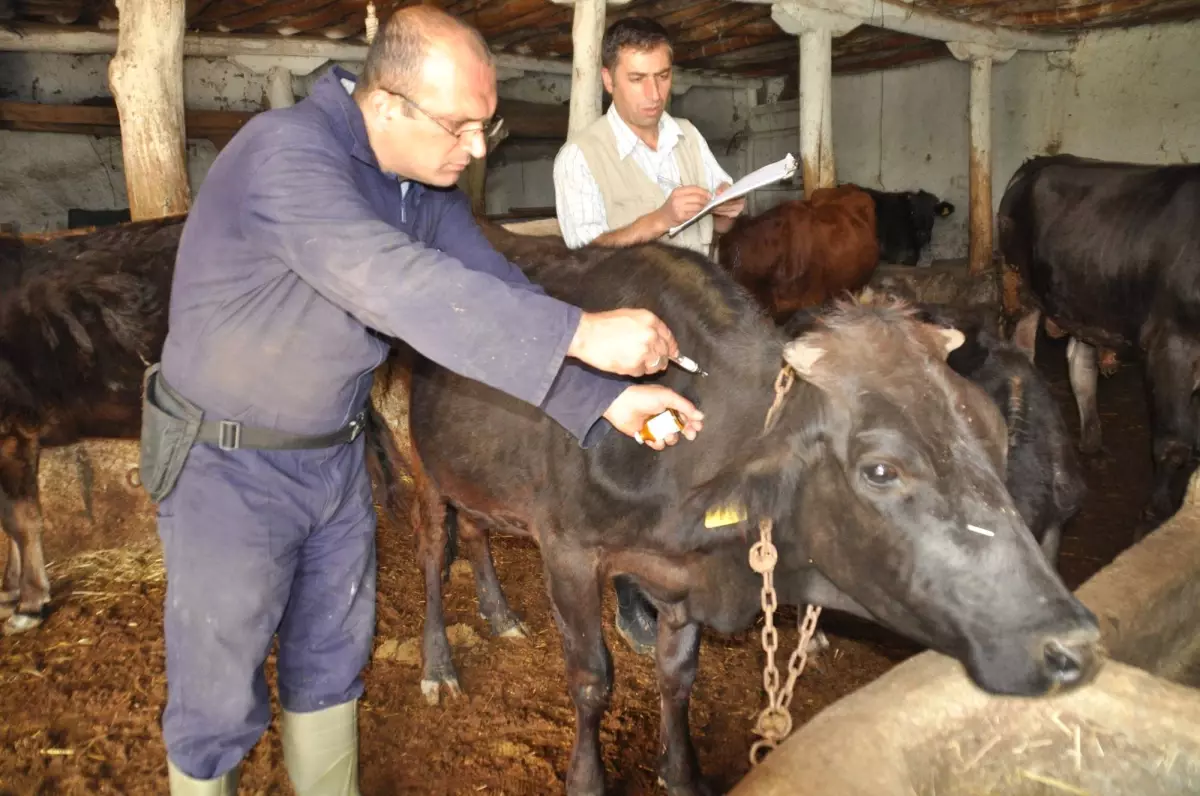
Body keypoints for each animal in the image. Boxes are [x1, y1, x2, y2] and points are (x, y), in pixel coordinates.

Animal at [379, 219, 1099, 796]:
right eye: (881, 469)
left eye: (997, 436)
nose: (1072, 645)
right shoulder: (568, 550)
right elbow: (591, 678)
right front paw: (587, 779)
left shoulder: (679, 573)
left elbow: (677, 675)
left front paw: (681, 774)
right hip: (420, 466)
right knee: (431, 549)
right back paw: (438, 664)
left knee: (477, 531)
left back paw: (499, 614)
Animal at [998, 153, 1200, 528]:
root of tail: (1042, 160)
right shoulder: (1171, 344)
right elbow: (1173, 441)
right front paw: (1154, 512)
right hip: (1018, 290)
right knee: (1021, 356)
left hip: (1085, 304)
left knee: (1081, 366)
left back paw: (1092, 443)